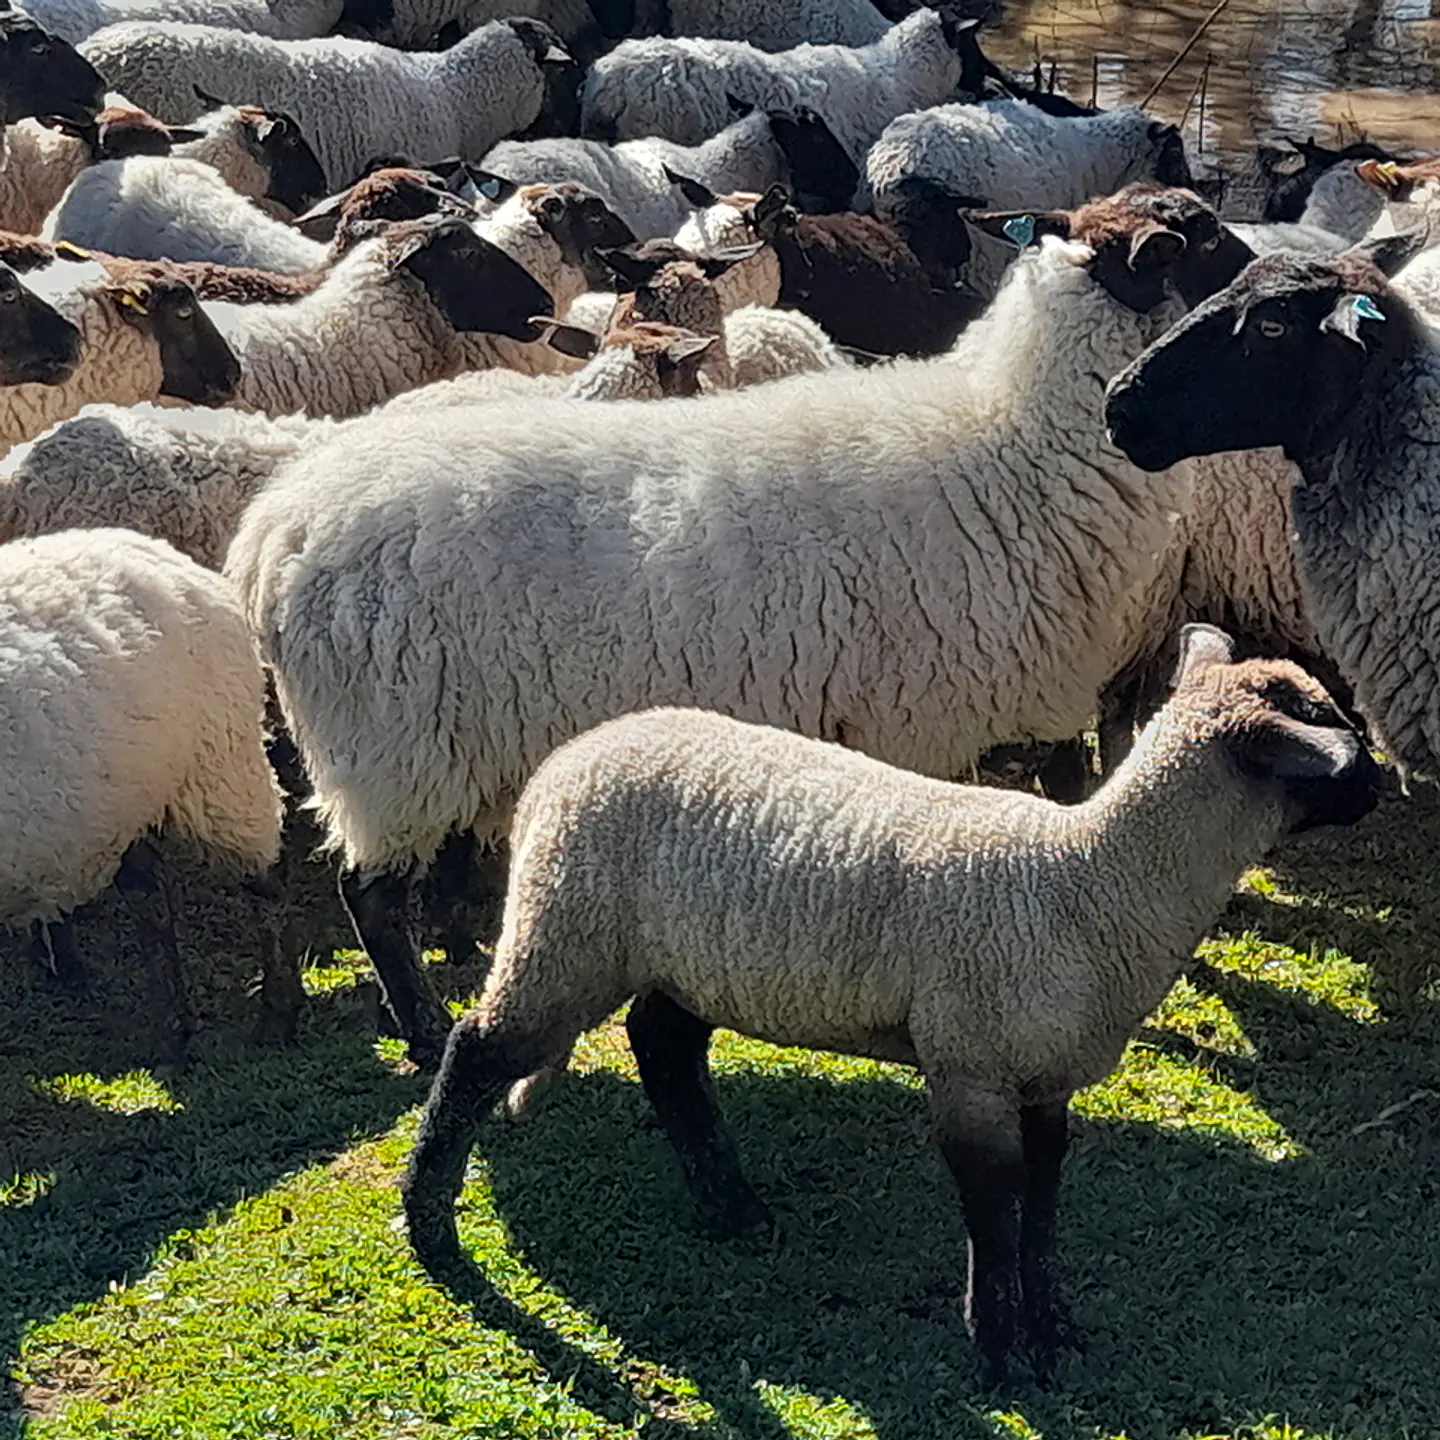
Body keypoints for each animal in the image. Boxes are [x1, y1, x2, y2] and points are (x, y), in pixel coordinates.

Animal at [0, 526, 287, 1056]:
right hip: (126, 803)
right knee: (151, 896)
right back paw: (174, 1031)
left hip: (220, 765)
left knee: (267, 880)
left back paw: (277, 1016)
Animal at [401, 627, 1381, 1386]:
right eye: (1328, 739)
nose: (1378, 787)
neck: (1090, 879)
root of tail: (566, 762)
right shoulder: (969, 1065)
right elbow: (993, 1204)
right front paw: (997, 1347)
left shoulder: (1045, 1075)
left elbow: (1045, 1197)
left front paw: (1050, 1326)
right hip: (568, 926)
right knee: (478, 1051)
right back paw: (431, 1224)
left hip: (694, 955)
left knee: (663, 1045)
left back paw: (732, 1207)